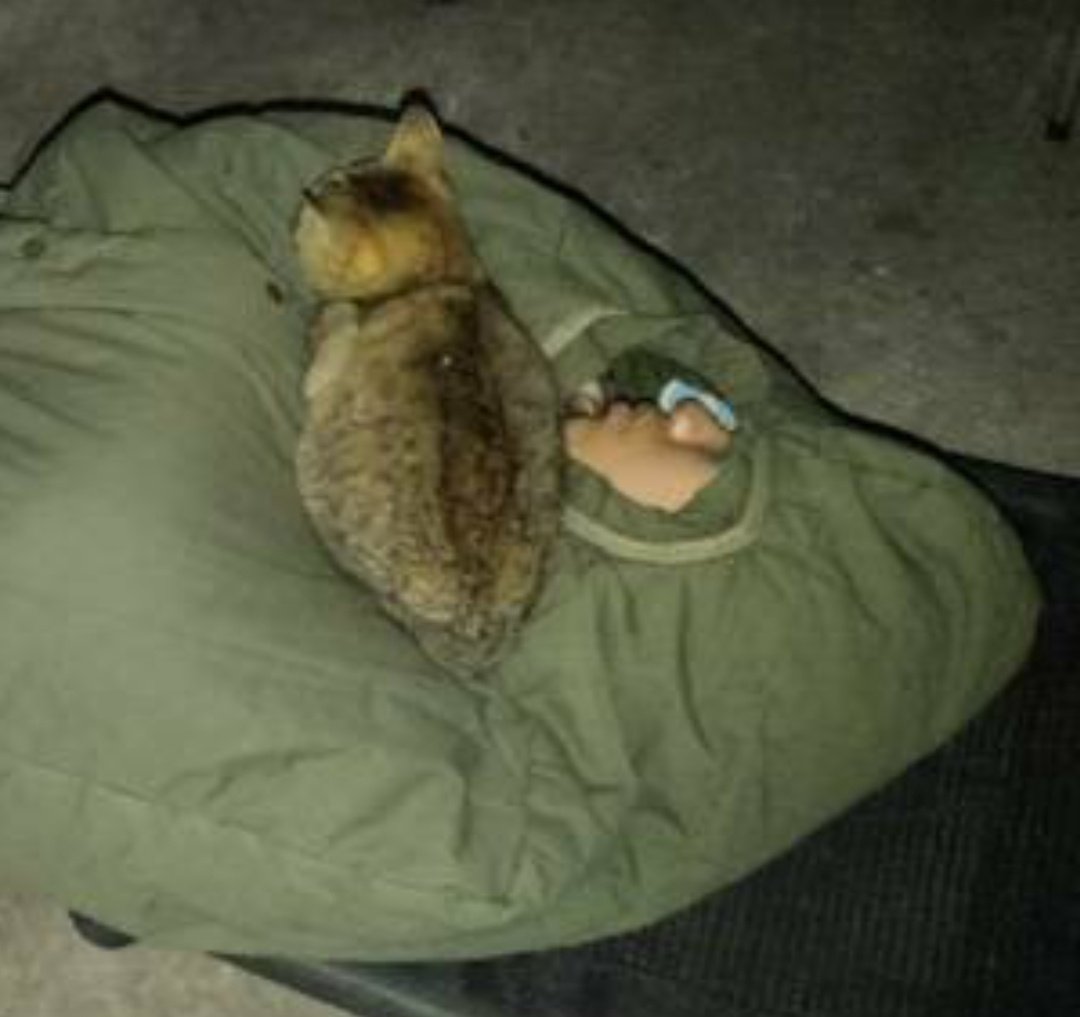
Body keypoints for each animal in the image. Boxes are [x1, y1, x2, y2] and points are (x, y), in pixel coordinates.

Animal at [293, 99, 563, 677]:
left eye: (327, 185)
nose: (304, 198)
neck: (437, 280)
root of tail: (475, 628)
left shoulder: (329, 359)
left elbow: (333, 326)